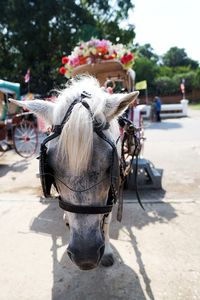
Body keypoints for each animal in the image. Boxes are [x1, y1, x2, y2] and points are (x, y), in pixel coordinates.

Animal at [9, 76, 139, 270]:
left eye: (110, 164)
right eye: (50, 167)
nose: (85, 256)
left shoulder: (110, 192)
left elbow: (107, 220)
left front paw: (107, 251)